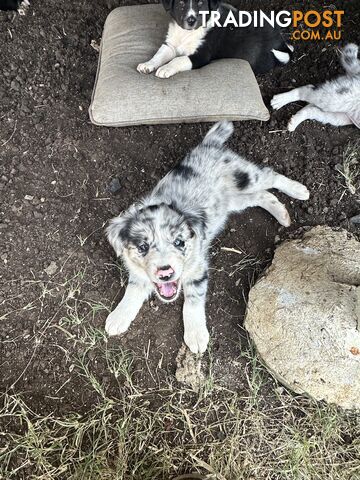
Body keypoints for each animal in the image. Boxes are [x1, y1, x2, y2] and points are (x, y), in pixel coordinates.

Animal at [105, 120, 310, 352]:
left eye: (179, 242)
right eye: (143, 247)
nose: (165, 273)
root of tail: (209, 144)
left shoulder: (198, 268)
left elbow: (193, 301)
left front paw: (196, 336)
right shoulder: (138, 271)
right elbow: (133, 290)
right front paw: (118, 318)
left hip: (245, 177)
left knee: (270, 175)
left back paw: (299, 190)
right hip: (234, 201)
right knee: (262, 196)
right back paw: (282, 215)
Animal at [136, 0, 292, 78]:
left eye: (200, 3)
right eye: (181, 3)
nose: (191, 20)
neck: (187, 33)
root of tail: (279, 40)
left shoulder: (201, 55)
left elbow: (178, 59)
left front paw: (166, 68)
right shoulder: (171, 45)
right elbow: (159, 55)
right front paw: (147, 64)